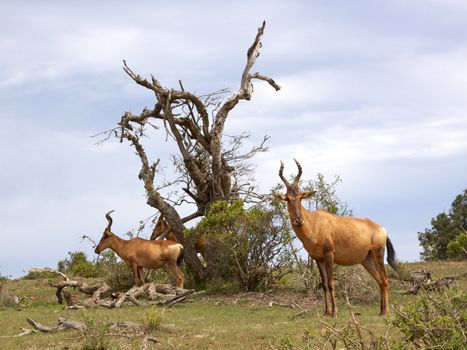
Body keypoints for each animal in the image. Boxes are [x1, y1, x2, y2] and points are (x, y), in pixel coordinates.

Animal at [274, 161, 398, 318]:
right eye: (287, 198)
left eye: (301, 196)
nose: (298, 220)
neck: (315, 222)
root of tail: (381, 229)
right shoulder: (318, 259)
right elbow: (324, 285)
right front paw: (326, 312)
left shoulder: (329, 255)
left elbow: (331, 283)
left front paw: (334, 312)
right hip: (367, 260)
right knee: (380, 281)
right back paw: (381, 311)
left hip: (378, 254)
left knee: (386, 280)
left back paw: (386, 311)